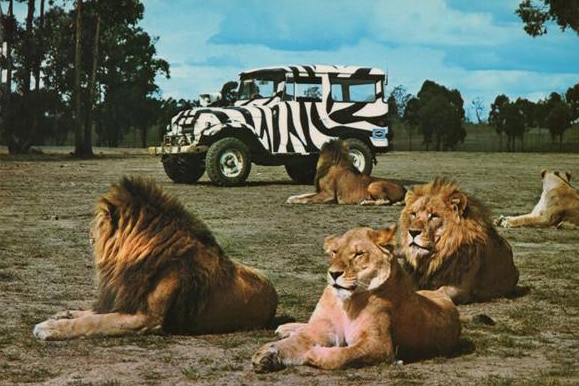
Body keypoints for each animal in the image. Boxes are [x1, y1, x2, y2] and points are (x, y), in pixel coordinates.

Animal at [33, 176, 278, 340]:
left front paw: (49, 328)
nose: (87, 233)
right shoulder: (126, 300)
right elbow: (91, 312)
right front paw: (63, 314)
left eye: (97, 221)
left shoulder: (147, 319)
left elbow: (94, 321)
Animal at [251, 225, 460, 372]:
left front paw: (313, 353)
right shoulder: (322, 329)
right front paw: (267, 354)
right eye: (334, 252)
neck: (346, 302)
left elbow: (343, 355)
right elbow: (293, 342)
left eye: (359, 254)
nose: (334, 274)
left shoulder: (379, 345)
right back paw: (285, 328)